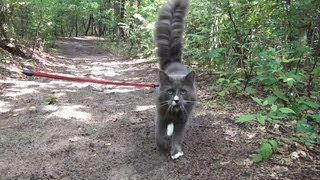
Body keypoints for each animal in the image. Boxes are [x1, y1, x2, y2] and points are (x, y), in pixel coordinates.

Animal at [154, 0, 196, 160]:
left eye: (183, 92)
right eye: (170, 92)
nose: (177, 100)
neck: (174, 113)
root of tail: (174, 62)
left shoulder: (182, 121)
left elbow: (177, 137)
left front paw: (176, 151)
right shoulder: (161, 116)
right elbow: (159, 136)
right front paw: (164, 145)